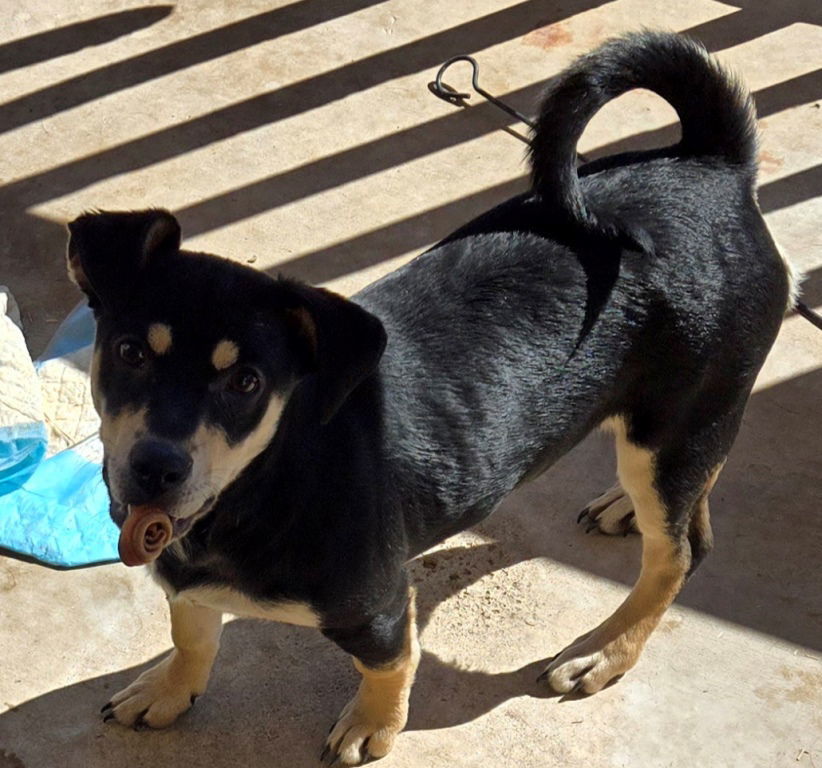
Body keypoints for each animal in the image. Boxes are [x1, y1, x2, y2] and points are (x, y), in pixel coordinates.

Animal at [69, 31, 800, 768]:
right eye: (130, 353)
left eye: (246, 383)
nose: (156, 469)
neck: (262, 481)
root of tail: (714, 164)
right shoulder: (185, 580)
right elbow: (191, 630)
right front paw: (168, 690)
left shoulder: (380, 606)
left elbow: (390, 665)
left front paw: (373, 725)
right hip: (683, 425)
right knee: (689, 502)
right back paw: (626, 508)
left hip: (682, 418)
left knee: (680, 552)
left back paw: (605, 649)